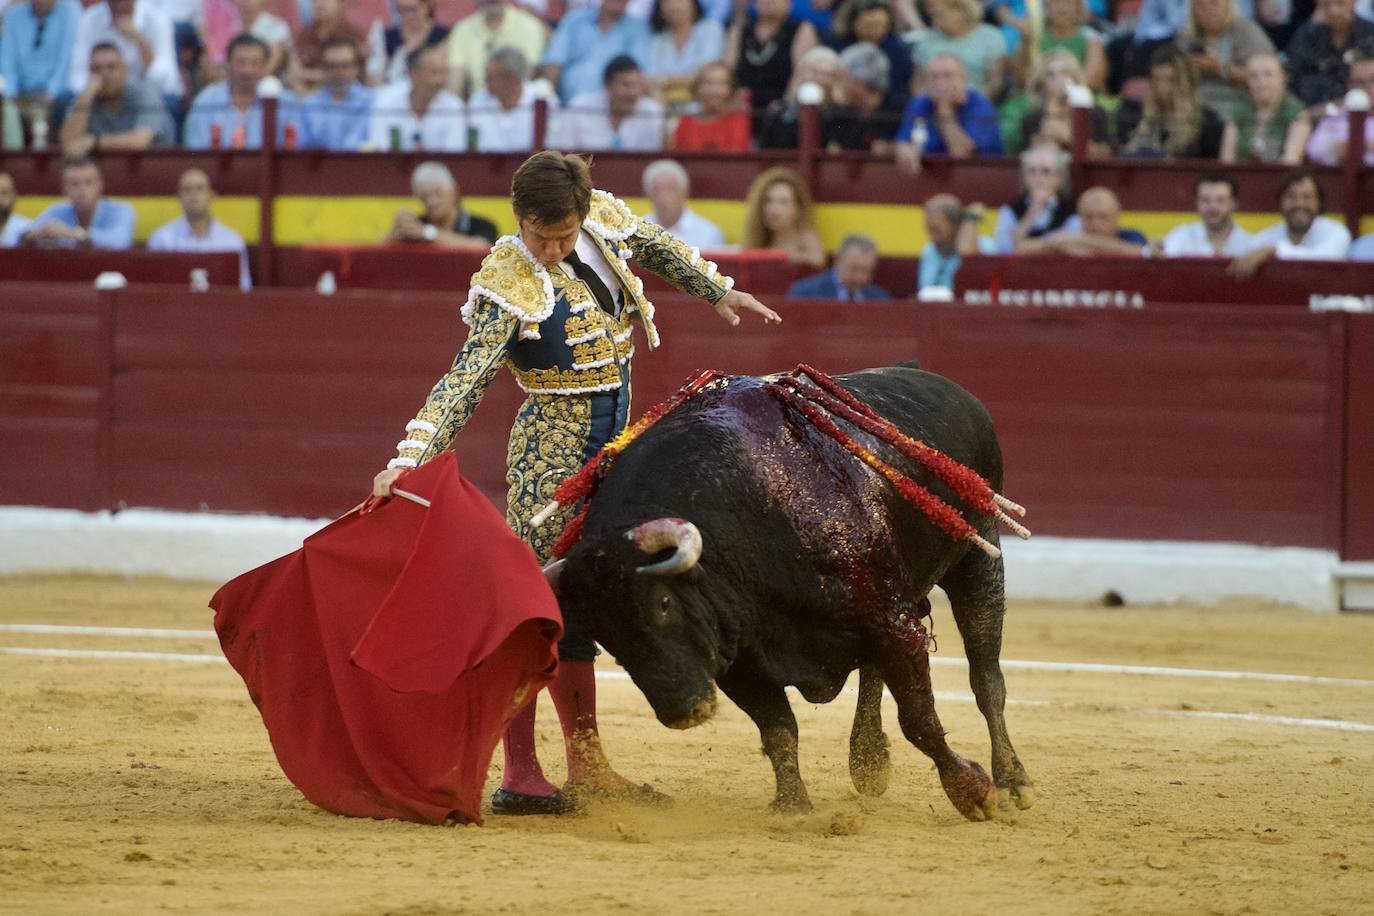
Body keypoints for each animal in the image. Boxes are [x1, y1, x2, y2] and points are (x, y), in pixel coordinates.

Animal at [541, 368, 1033, 818]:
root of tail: (952, 389)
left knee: (986, 678)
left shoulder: (893, 626)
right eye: (607, 638)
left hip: (978, 556)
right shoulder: (739, 657)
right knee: (876, 674)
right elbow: (778, 728)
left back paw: (1012, 781)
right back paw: (869, 762)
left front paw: (973, 791)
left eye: (663, 604)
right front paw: (792, 806)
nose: (683, 711)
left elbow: (919, 719)